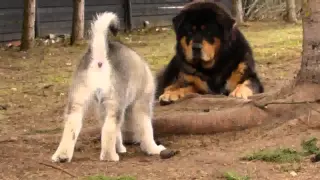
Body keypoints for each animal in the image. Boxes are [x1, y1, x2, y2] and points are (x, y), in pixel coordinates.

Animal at [51, 11, 166, 162]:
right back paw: (110, 156)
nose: (132, 141)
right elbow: (146, 130)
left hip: (78, 102)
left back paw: (62, 156)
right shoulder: (142, 103)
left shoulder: (102, 108)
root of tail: (100, 58)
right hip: (114, 102)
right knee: (109, 129)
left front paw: (120, 147)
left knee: (71, 126)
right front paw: (154, 149)